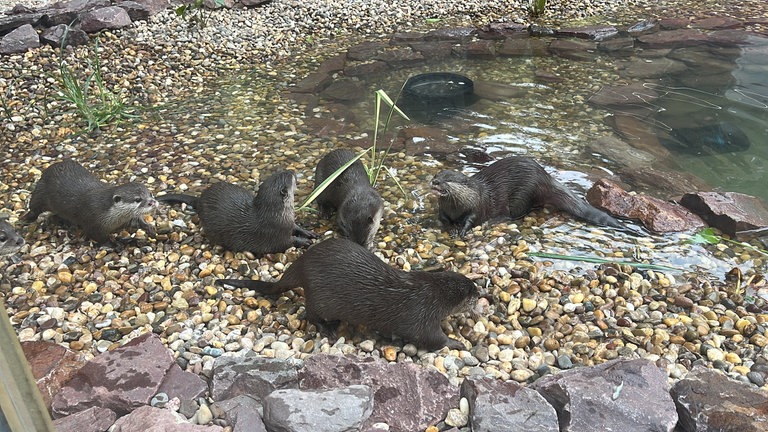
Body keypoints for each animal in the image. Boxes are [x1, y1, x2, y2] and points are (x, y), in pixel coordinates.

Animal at [23, 159, 157, 243]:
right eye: (138, 199)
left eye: (150, 194)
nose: (153, 202)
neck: (108, 213)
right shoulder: (93, 222)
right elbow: (100, 238)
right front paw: (117, 242)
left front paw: (149, 227)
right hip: (40, 192)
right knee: (34, 207)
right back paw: (25, 218)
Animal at [159, 170, 318, 254]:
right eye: (290, 176)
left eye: (282, 171)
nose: (292, 171)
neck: (277, 216)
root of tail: (200, 199)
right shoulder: (275, 233)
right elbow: (288, 242)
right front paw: (304, 241)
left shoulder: (289, 223)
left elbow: (296, 227)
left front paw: (308, 232)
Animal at [216, 238, 477, 351]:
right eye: (472, 294)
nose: (480, 291)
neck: (433, 294)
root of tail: (302, 263)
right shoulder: (422, 315)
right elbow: (433, 339)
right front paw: (457, 342)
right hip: (320, 298)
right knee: (310, 314)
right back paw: (328, 330)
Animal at [431, 156, 626, 236]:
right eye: (437, 175)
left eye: (447, 179)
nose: (435, 181)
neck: (457, 207)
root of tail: (546, 177)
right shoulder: (443, 210)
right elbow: (443, 219)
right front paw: (451, 228)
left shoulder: (477, 206)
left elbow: (472, 220)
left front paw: (462, 230)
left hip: (523, 194)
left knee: (516, 214)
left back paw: (498, 220)